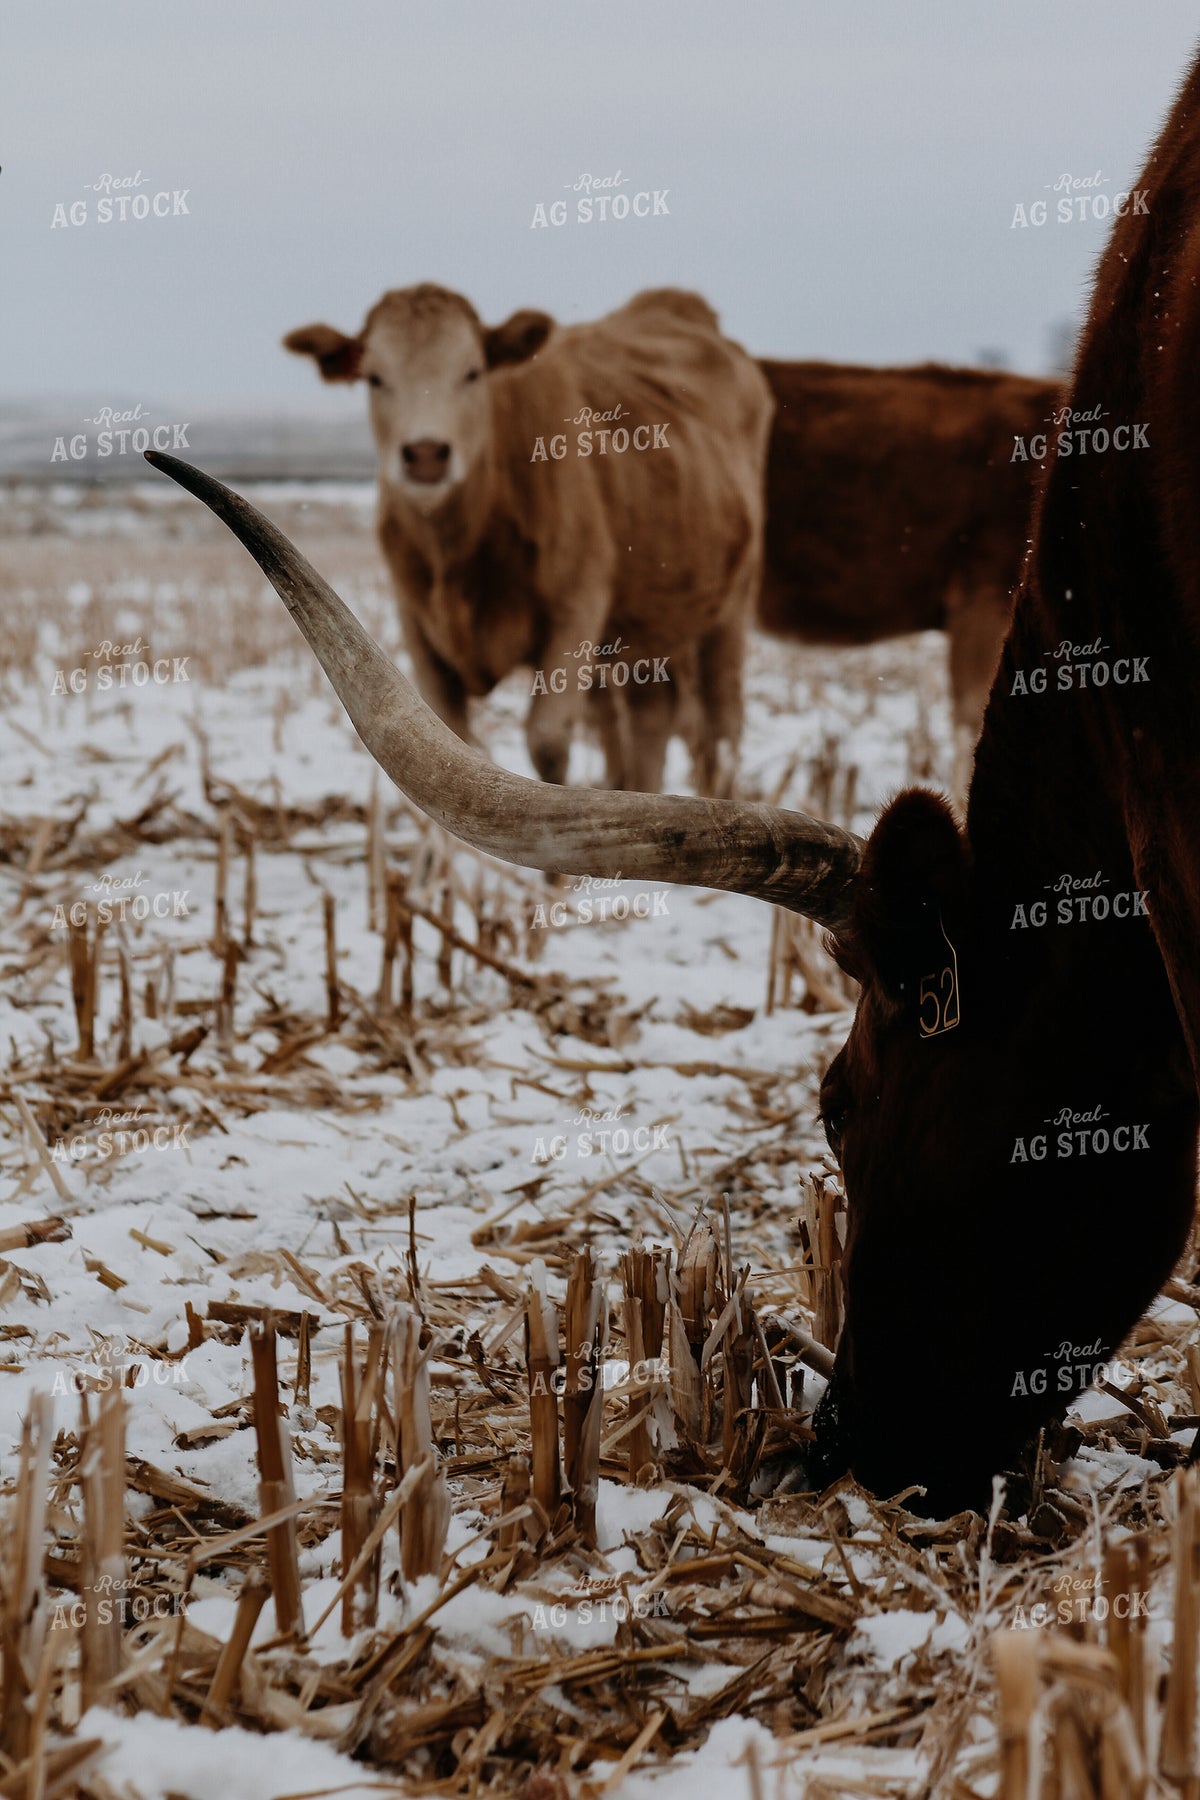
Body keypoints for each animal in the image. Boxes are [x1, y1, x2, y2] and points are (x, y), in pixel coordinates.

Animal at [282, 285, 773, 799]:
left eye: (472, 372)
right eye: (375, 377)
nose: (426, 454)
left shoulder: (577, 610)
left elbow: (547, 742)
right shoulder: (416, 627)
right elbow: (445, 754)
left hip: (729, 609)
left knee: (721, 730)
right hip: (649, 626)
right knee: (652, 715)